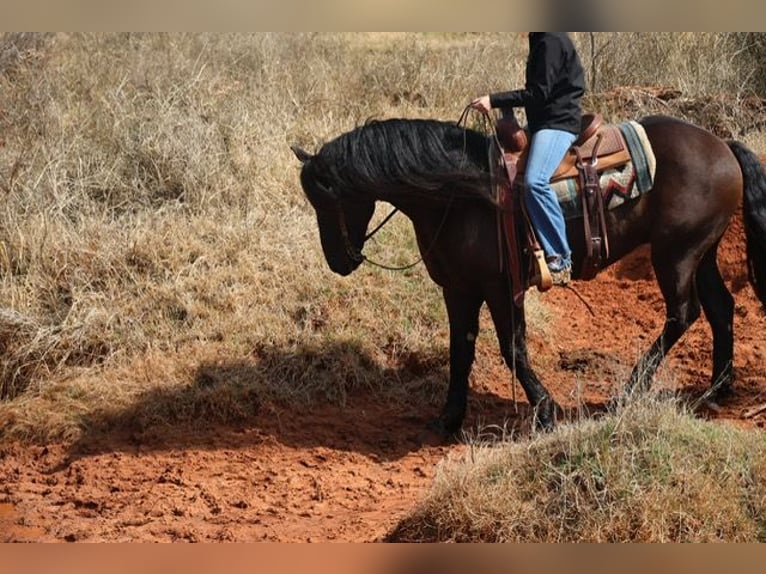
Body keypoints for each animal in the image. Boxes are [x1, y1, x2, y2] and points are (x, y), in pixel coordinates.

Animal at [291, 114, 766, 434]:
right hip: (700, 252)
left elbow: (512, 349)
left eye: (329, 200)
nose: (338, 261)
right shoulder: (457, 290)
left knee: (683, 313)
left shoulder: (502, 289)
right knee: (721, 308)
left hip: (676, 254)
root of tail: (722, 146)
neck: (459, 196)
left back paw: (632, 388)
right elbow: (461, 351)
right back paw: (716, 390)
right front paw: (449, 418)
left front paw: (546, 410)